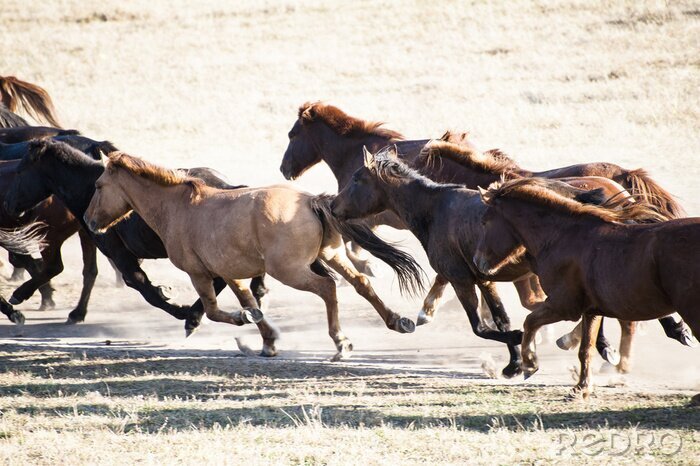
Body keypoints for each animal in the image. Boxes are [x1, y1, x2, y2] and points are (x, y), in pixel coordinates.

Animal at [3, 139, 268, 337]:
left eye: (20, 170)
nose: (8, 204)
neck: (89, 188)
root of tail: (231, 187)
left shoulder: (117, 251)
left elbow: (141, 285)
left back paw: (197, 315)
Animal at [82, 150, 422, 359]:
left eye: (98, 185)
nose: (89, 221)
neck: (178, 207)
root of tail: (311, 201)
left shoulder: (199, 274)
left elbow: (216, 310)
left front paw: (242, 321)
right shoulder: (231, 273)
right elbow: (248, 301)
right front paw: (267, 341)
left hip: (290, 270)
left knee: (328, 288)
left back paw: (341, 343)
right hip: (331, 255)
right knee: (361, 283)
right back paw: (399, 321)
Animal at [473, 177, 699, 400]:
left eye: (484, 221)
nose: (477, 262)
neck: (562, 237)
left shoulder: (564, 306)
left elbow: (530, 322)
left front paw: (530, 365)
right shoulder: (591, 310)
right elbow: (586, 349)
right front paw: (581, 388)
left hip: (690, 310)